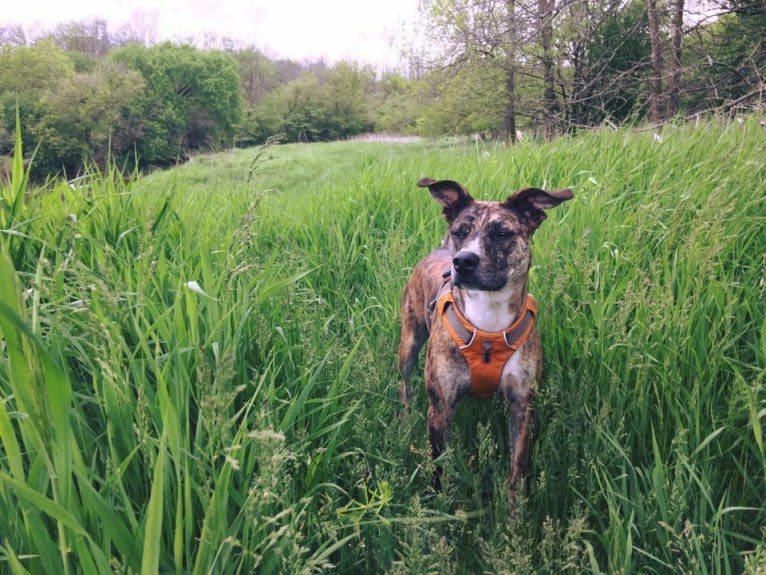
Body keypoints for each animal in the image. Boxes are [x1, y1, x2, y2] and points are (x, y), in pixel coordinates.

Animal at [400, 178, 572, 506]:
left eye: (502, 233)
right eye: (460, 231)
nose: (463, 261)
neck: (489, 325)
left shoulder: (522, 405)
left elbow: (517, 468)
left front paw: (515, 513)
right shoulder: (440, 409)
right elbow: (439, 466)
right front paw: (439, 506)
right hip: (409, 341)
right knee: (404, 380)